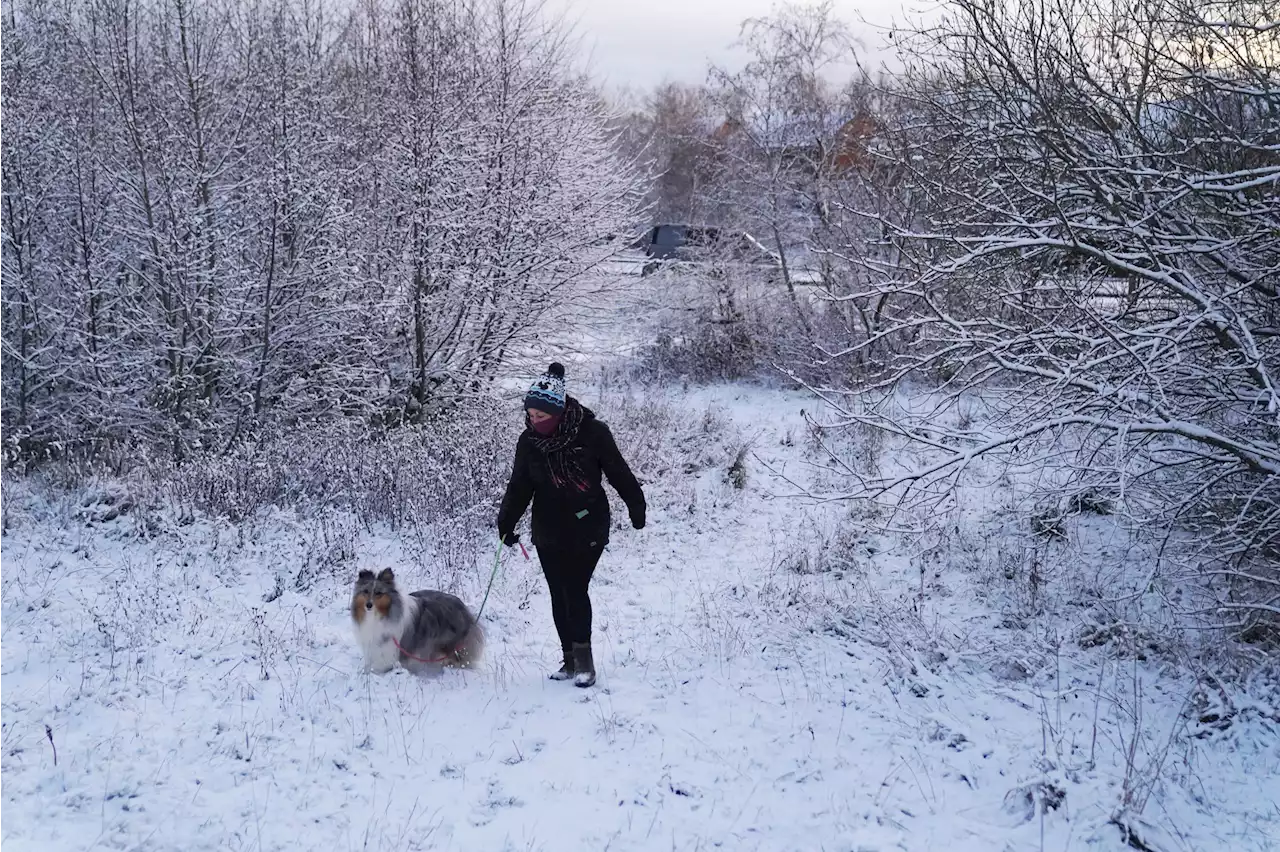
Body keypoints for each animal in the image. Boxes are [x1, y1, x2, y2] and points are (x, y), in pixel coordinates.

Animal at [350, 568, 483, 675]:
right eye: (365, 591)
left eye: (379, 593)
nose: (368, 605)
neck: (378, 615)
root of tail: (464, 608)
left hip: (449, 644)